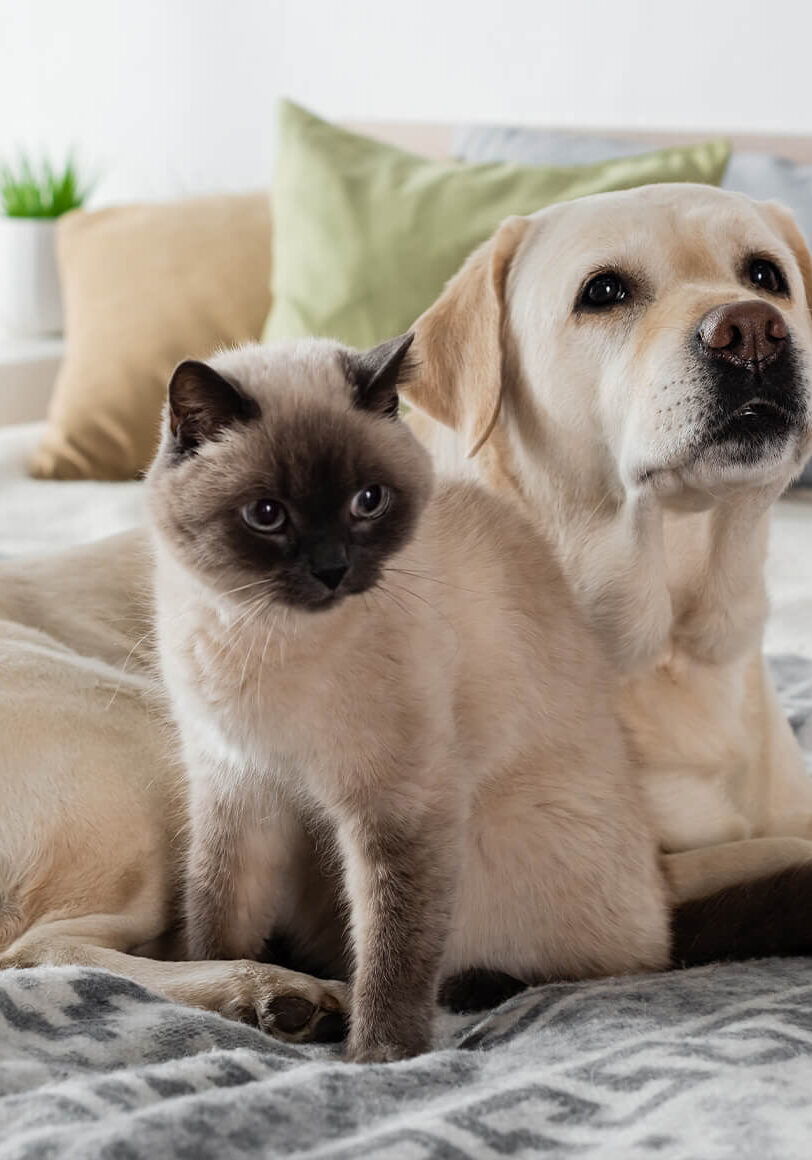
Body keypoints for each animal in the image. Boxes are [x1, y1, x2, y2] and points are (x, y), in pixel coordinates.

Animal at [146, 334, 672, 1062]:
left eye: (368, 501)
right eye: (267, 515)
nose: (332, 569)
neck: (259, 632)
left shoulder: (398, 806)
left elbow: (393, 949)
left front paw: (378, 1057)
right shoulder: (238, 786)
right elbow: (215, 918)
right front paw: (235, 997)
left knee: (611, 965)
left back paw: (473, 987)